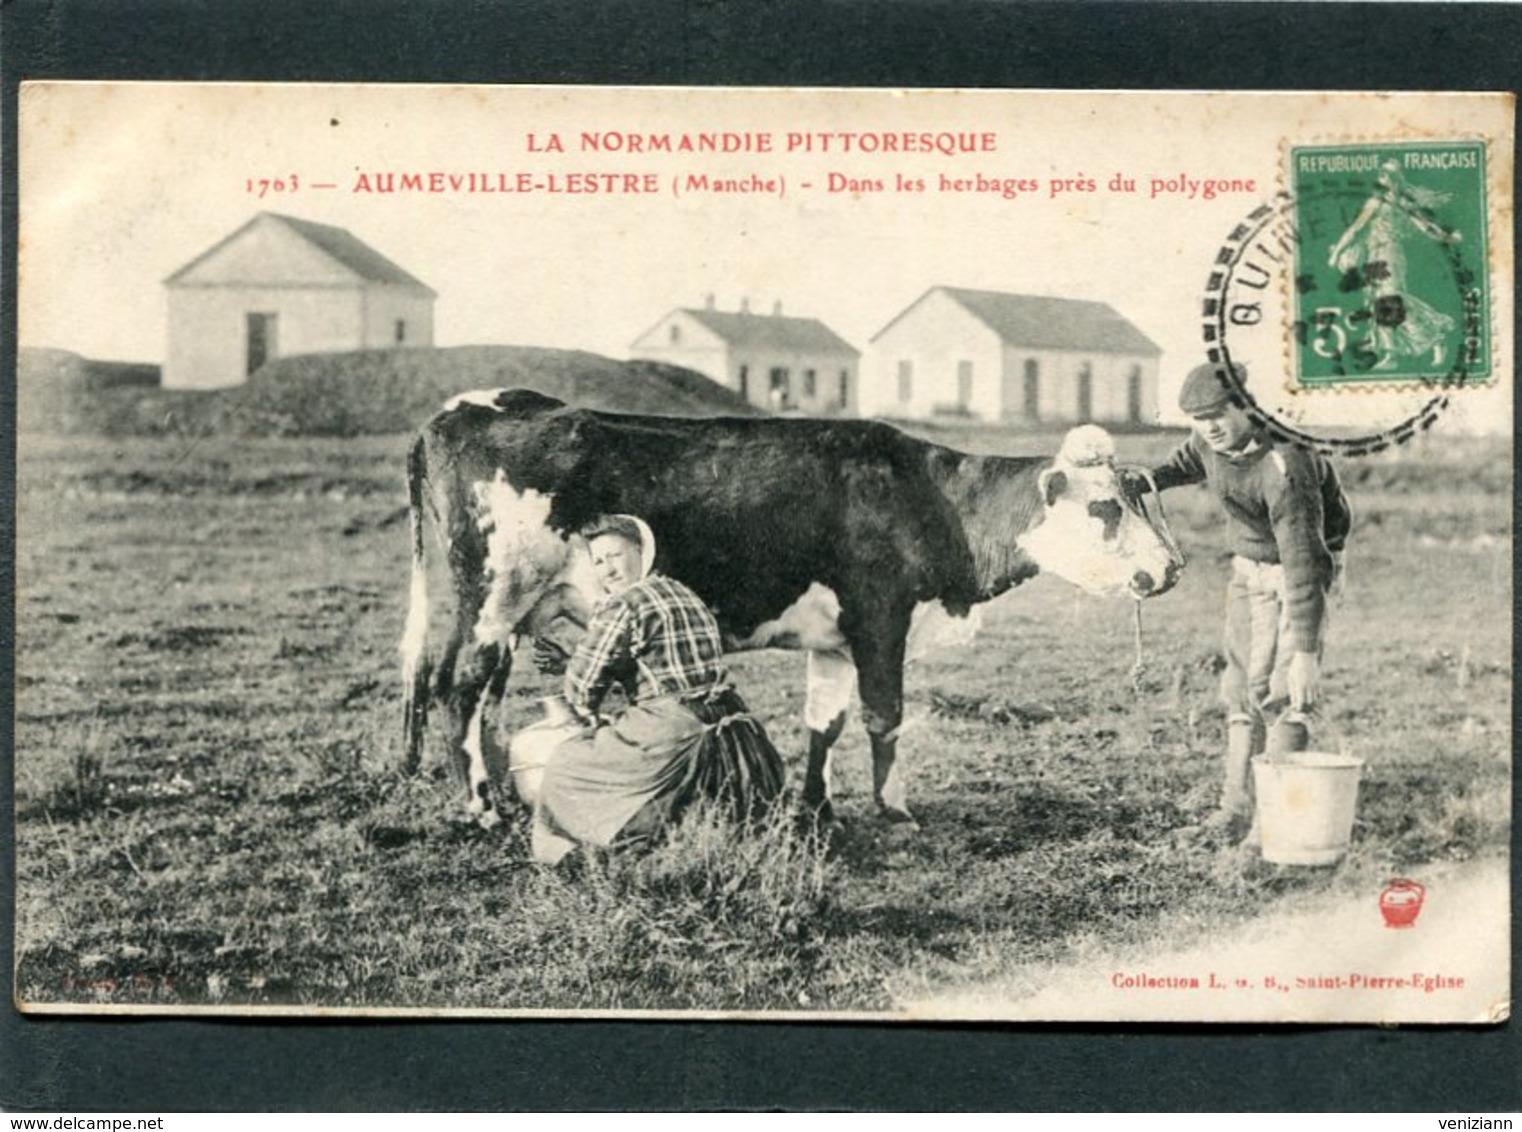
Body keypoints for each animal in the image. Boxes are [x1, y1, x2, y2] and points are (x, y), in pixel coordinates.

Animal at [398, 392, 1181, 827]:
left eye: (1141, 496)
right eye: (1106, 507)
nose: (1171, 568)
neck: (929, 500)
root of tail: (458, 413)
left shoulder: (832, 637)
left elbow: (823, 723)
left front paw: (817, 806)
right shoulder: (880, 615)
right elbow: (884, 717)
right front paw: (895, 810)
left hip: (488, 606)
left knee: (455, 686)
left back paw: (492, 792)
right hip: (493, 598)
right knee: (458, 688)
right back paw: (482, 806)